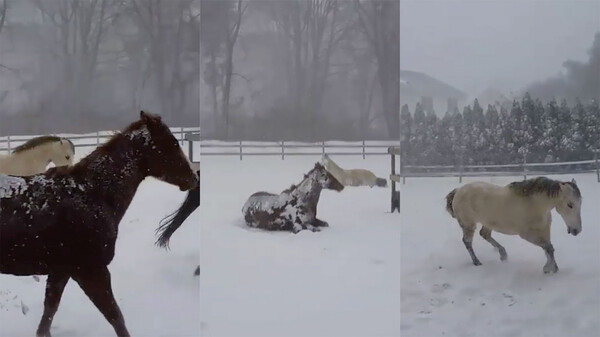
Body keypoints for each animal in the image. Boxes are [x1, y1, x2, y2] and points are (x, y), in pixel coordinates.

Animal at [0, 111, 199, 334]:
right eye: (172, 143)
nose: (193, 178)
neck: (92, 193)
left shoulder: (61, 270)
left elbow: (49, 313)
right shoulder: (91, 271)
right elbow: (115, 317)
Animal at [446, 176, 580, 272]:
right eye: (570, 204)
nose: (576, 230)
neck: (536, 205)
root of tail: (458, 191)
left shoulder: (545, 230)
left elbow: (549, 249)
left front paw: (552, 267)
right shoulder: (526, 234)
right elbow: (548, 247)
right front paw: (549, 269)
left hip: (488, 222)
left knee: (484, 234)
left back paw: (503, 254)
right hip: (468, 224)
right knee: (467, 241)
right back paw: (477, 262)